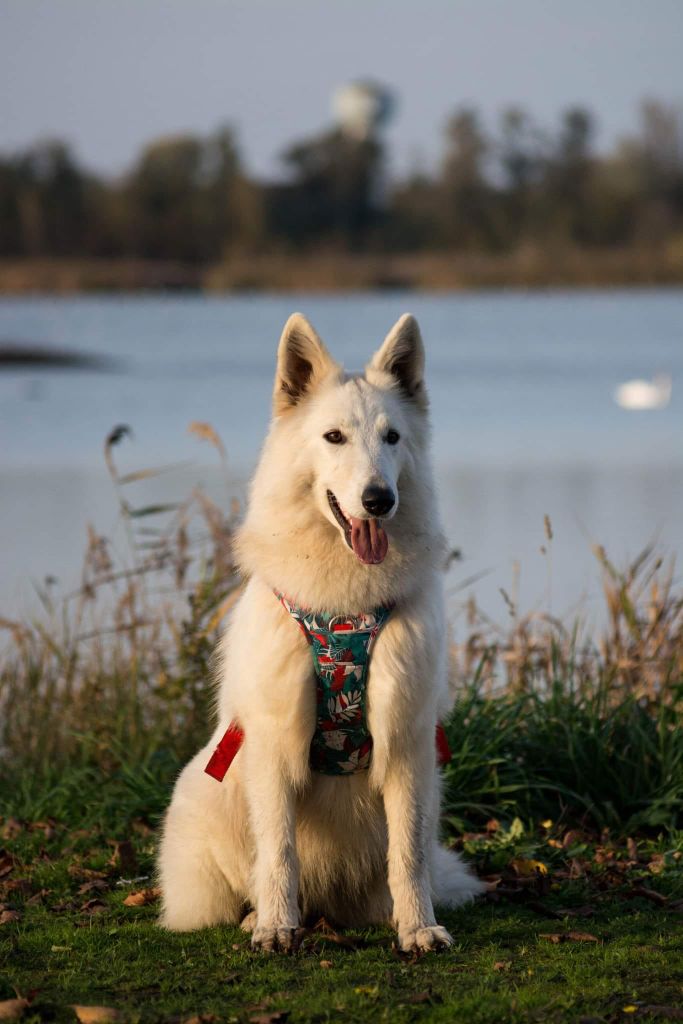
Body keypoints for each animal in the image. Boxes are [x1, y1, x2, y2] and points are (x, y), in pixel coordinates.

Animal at [157, 313, 483, 950]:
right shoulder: (274, 740)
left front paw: (418, 929)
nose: (379, 500)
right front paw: (275, 928)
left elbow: (408, 854)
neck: (344, 607)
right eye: (334, 437)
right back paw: (259, 915)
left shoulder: (407, 740)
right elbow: (278, 852)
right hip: (209, 793)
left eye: (392, 438)